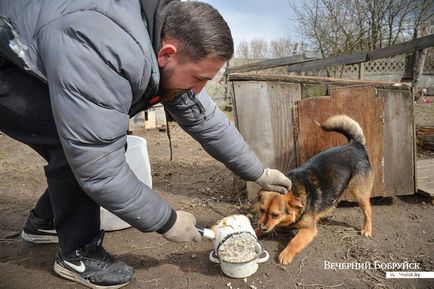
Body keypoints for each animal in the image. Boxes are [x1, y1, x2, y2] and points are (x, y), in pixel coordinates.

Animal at [254, 113, 372, 264]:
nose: (263, 227)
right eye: (262, 210)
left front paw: (286, 253)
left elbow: (294, 241)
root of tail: (356, 144)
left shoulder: (309, 230)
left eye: (275, 215)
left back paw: (367, 229)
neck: (296, 190)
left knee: (368, 210)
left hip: (358, 192)